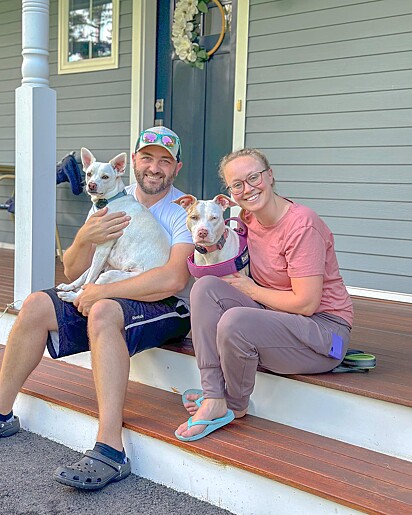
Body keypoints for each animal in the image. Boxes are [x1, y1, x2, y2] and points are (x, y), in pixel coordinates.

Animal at [56, 148, 171, 302]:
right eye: (89, 173)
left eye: (105, 177)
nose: (91, 185)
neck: (107, 202)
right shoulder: (102, 254)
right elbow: (84, 274)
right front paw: (69, 286)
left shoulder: (102, 249)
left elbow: (89, 279)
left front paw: (73, 293)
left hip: (110, 275)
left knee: (92, 286)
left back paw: (72, 297)